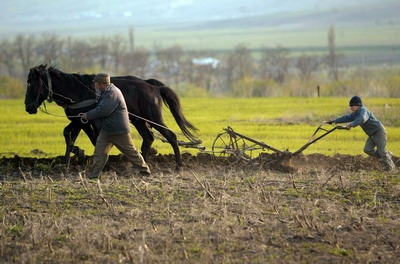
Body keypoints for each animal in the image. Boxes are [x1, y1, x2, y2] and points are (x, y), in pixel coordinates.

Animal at [24, 65, 198, 170]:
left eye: (32, 84)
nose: (28, 107)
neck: (77, 90)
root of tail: (154, 88)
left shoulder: (87, 121)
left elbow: (94, 139)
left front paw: (99, 162)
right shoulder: (78, 119)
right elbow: (68, 135)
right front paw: (69, 159)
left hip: (153, 118)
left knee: (171, 136)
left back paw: (178, 164)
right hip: (139, 120)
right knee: (148, 138)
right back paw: (140, 163)